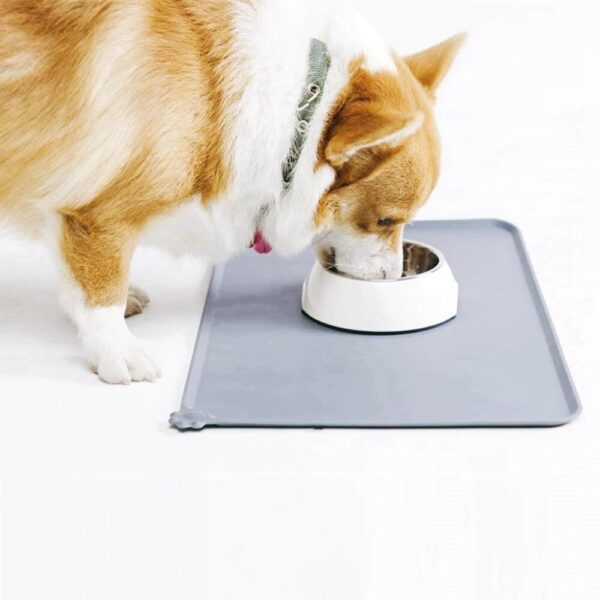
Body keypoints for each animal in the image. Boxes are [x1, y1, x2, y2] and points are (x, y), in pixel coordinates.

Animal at [0, 1, 464, 384]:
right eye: (386, 220)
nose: (395, 278)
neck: (298, 114)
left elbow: (82, 279)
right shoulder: (94, 214)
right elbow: (101, 289)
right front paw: (118, 351)